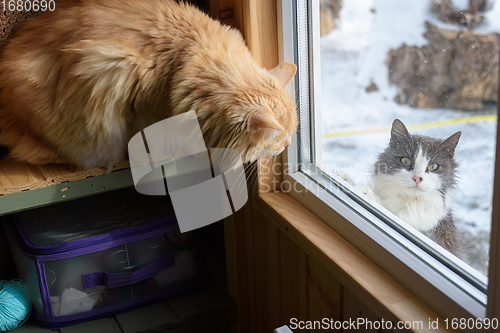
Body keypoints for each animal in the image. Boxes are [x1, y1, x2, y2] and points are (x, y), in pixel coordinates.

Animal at [0, 0, 296, 169]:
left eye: (293, 132)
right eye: (277, 140)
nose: (289, 145)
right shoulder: (133, 98)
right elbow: (150, 134)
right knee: (33, 153)